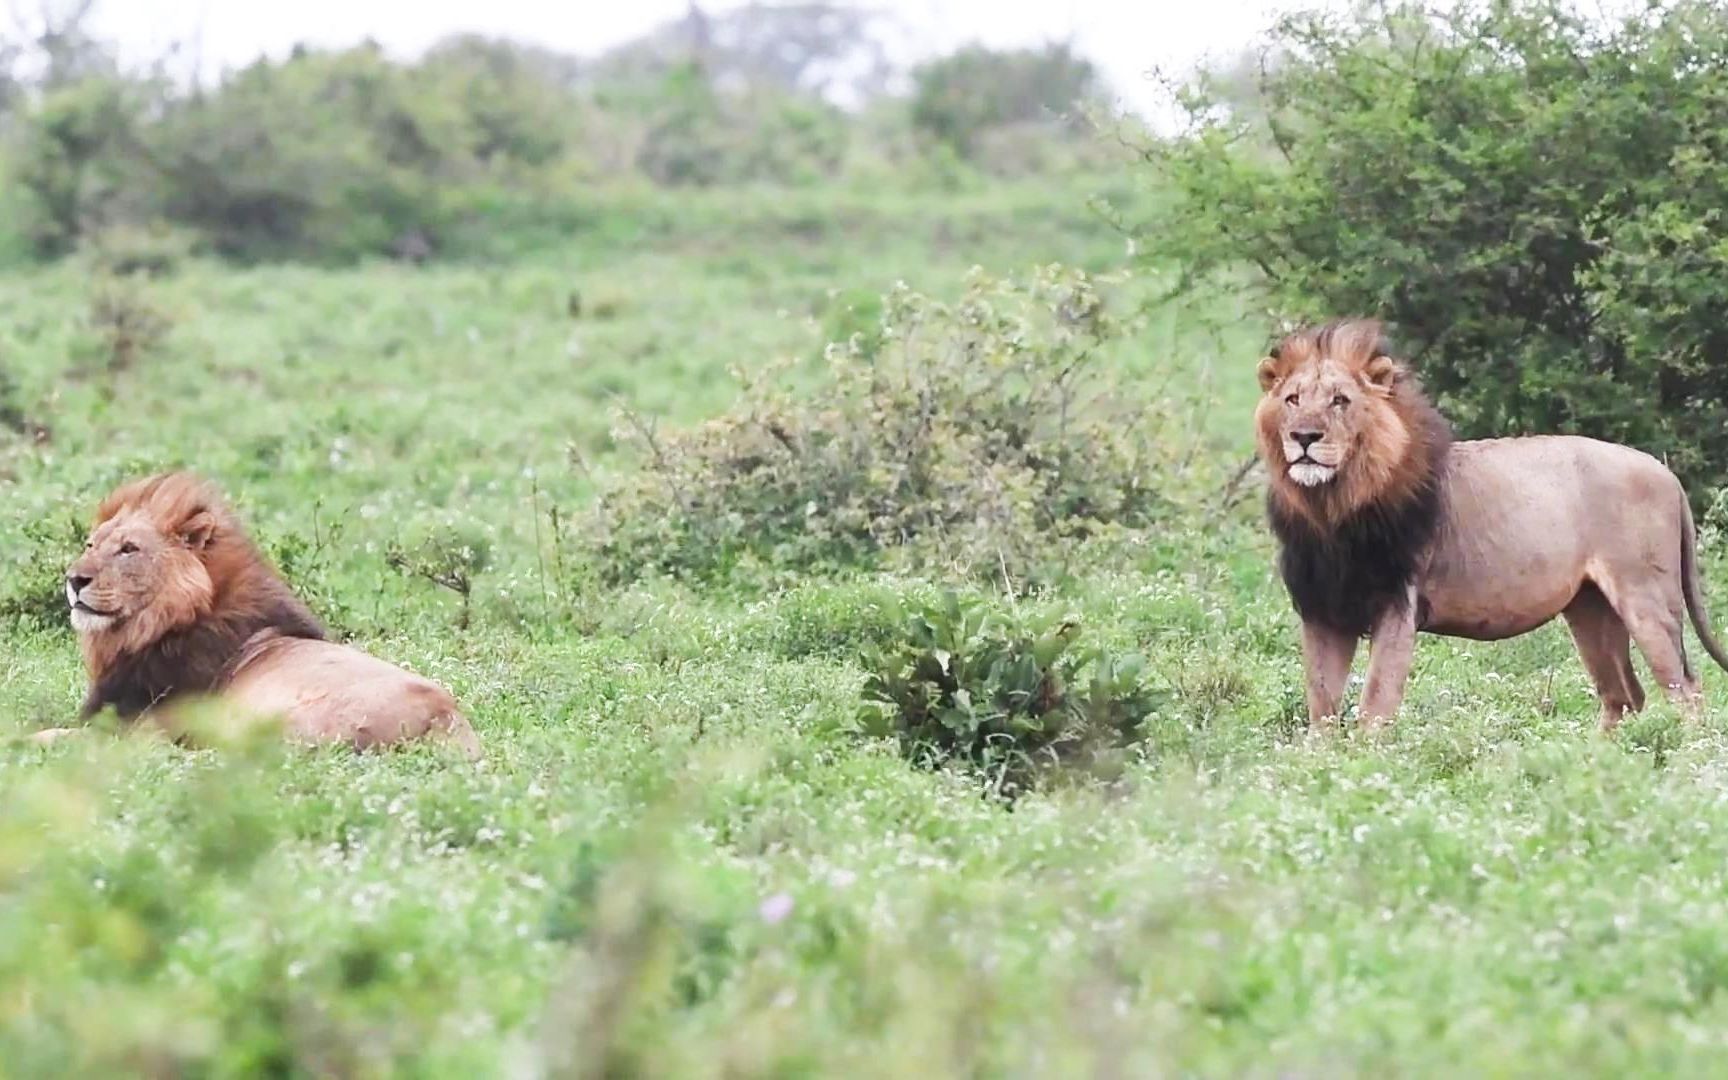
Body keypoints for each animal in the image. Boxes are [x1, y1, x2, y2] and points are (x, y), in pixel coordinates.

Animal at [42, 466, 487, 753]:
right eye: (90, 544)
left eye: (129, 549)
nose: (74, 579)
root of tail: (446, 719)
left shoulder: (141, 727)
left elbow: (56, 735)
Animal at [1257, 316, 1728, 729]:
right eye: (1292, 400)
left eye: (1340, 400)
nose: (1304, 437)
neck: (1329, 510)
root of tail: (1666, 473)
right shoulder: (1322, 611)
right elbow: (1321, 712)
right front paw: (1323, 767)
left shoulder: (1396, 605)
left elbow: (1373, 707)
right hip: (1590, 607)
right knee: (1624, 696)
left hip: (1646, 597)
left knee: (1686, 690)